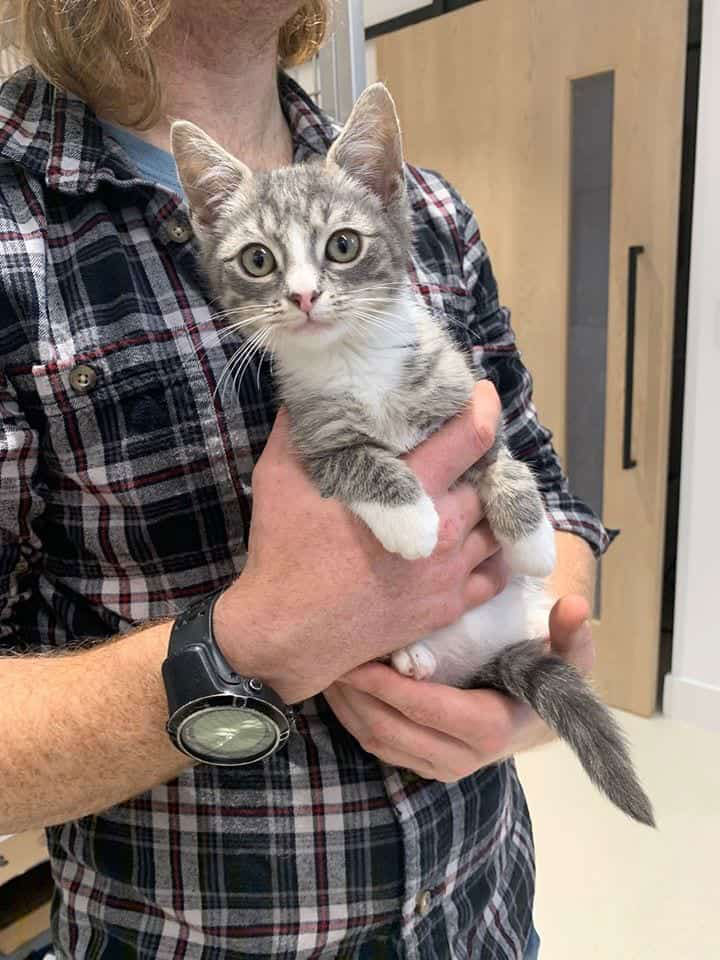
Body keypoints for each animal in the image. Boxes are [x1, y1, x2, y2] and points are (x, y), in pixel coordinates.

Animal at [173, 86, 652, 828]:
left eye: (342, 245)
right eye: (257, 260)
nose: (304, 296)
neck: (356, 358)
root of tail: (474, 656)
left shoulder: (464, 398)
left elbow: (508, 459)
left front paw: (533, 539)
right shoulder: (310, 434)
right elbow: (361, 460)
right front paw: (414, 521)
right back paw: (412, 656)